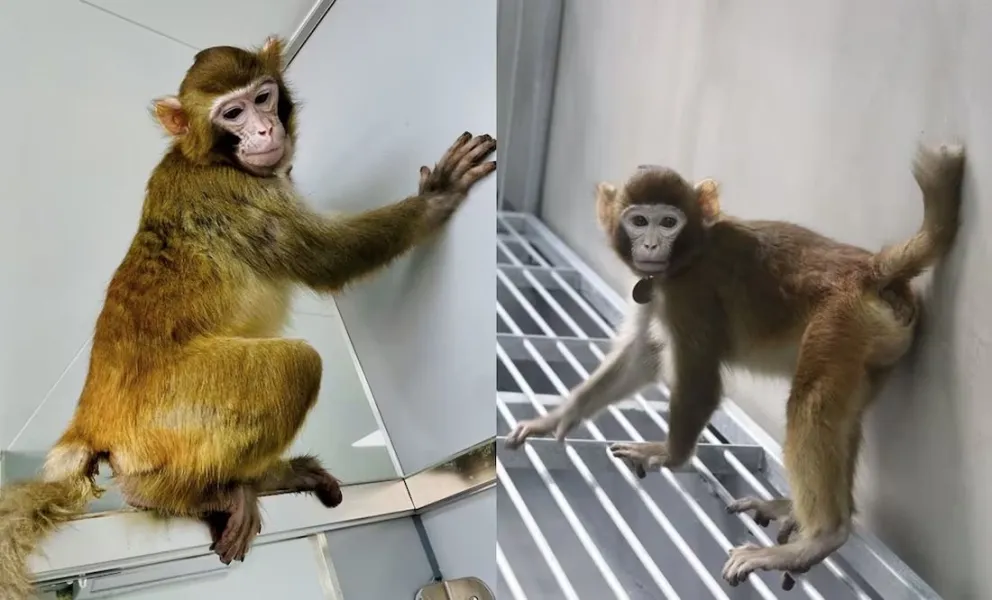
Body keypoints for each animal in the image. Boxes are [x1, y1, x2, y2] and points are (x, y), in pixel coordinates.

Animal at [0, 35, 496, 599]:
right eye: (232, 113)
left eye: (262, 98)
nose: (263, 130)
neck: (208, 158)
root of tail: (89, 422)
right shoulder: (238, 194)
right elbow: (329, 260)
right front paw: (436, 199)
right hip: (172, 411)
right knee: (297, 365)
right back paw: (173, 494)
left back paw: (264, 479)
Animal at [504, 142, 965, 587]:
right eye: (638, 221)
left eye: (667, 222)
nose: (650, 245)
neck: (691, 252)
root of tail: (870, 270)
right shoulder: (659, 287)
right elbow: (642, 356)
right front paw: (557, 417)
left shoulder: (690, 292)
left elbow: (700, 380)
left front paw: (670, 455)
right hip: (872, 345)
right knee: (842, 415)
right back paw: (804, 513)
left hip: (841, 322)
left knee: (811, 403)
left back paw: (820, 537)